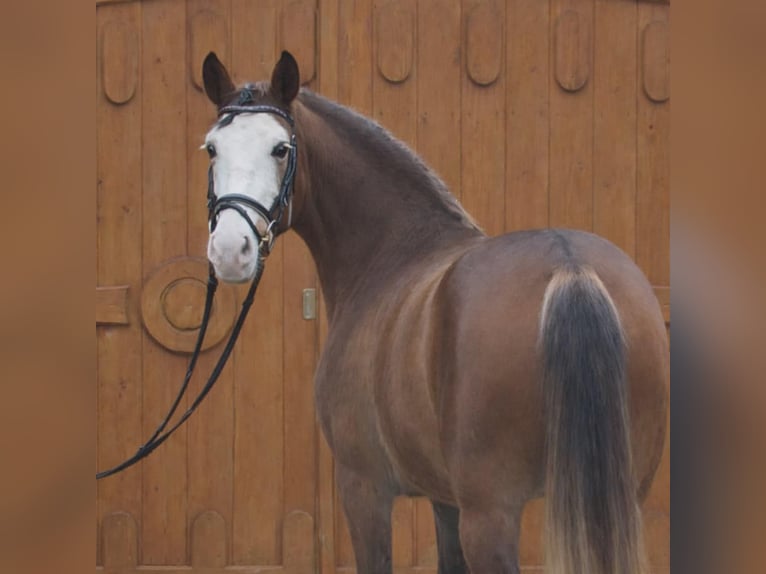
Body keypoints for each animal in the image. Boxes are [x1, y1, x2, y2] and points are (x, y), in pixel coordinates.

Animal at [200, 51, 668, 574]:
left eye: (280, 149)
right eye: (212, 149)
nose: (230, 252)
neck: (392, 254)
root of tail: (571, 268)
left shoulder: (364, 488)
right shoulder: (446, 500)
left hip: (491, 513)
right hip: (623, 501)